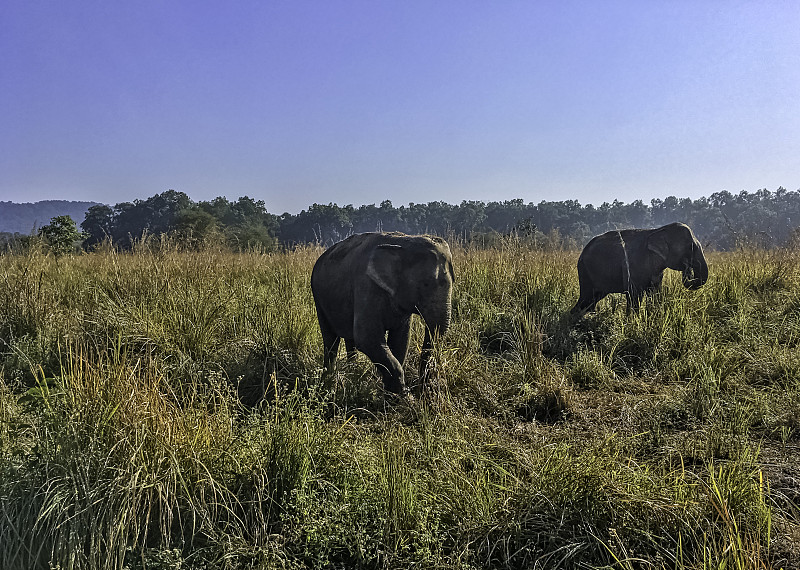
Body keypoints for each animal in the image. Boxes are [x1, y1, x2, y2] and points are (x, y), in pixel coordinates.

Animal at [310, 231, 454, 394]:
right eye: (425, 284)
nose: (423, 390)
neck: (403, 242)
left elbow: (400, 341)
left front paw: (389, 393)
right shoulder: (366, 287)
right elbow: (367, 338)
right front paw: (403, 396)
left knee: (349, 340)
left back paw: (352, 373)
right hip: (319, 298)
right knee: (331, 341)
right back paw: (327, 384)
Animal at [568, 221, 708, 316]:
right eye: (691, 247)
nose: (688, 268)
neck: (658, 230)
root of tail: (581, 254)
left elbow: (655, 293)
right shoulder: (634, 265)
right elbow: (634, 295)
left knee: (592, 299)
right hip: (585, 272)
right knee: (586, 298)